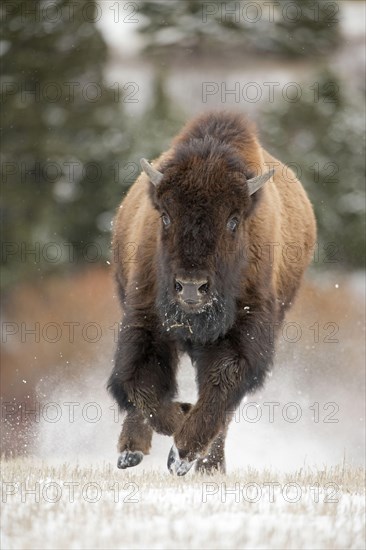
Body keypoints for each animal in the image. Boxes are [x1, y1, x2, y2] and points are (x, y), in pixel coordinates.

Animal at [107, 110, 316, 476]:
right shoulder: (145, 321)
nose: (191, 287)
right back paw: (130, 453)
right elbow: (141, 384)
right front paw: (179, 418)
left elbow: (221, 389)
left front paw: (182, 454)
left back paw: (209, 465)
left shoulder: (243, 337)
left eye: (233, 220)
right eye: (165, 216)